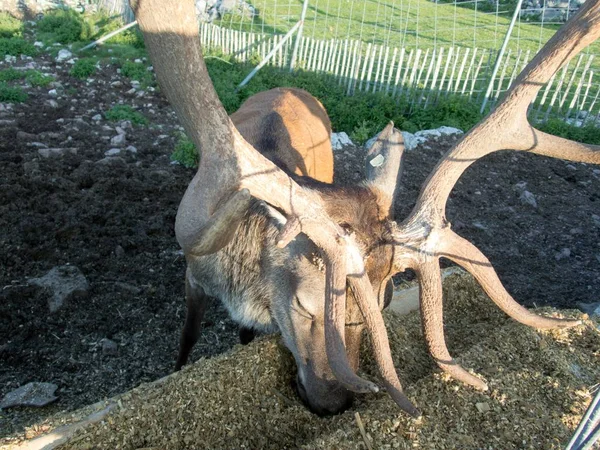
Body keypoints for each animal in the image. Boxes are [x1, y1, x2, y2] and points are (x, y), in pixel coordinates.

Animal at [131, 0, 600, 416]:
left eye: (385, 300)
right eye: (305, 305)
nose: (333, 404)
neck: (243, 281)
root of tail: (292, 85)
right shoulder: (193, 270)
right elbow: (187, 340)